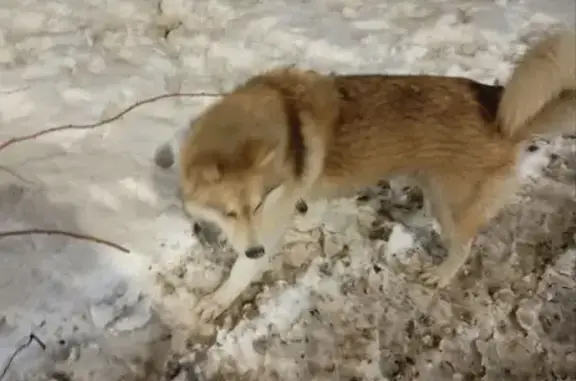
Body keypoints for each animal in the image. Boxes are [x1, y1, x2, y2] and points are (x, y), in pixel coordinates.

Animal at [154, 28, 576, 322]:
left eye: (256, 205)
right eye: (228, 212)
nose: (254, 249)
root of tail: (499, 109)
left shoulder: (267, 228)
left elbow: (241, 271)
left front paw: (218, 300)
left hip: (449, 205)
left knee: (464, 246)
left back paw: (442, 274)